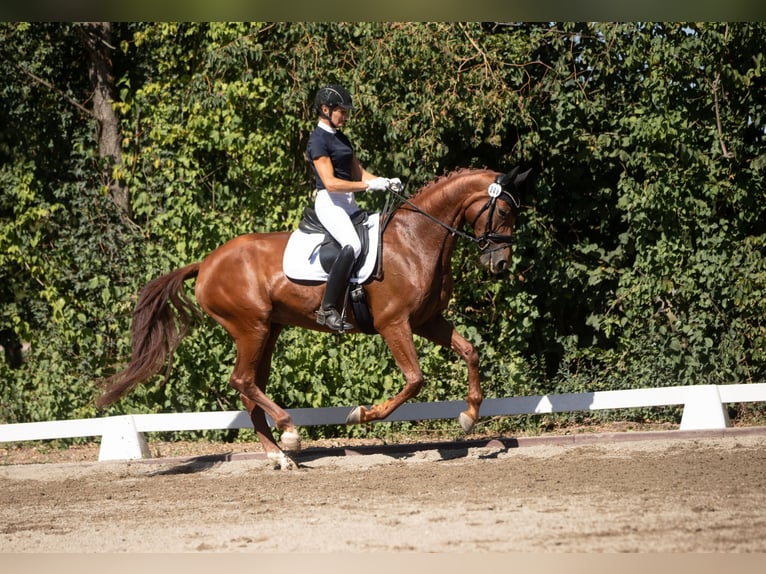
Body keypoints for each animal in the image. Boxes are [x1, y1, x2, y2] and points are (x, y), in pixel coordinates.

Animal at [97, 168, 536, 472]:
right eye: (504, 210)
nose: (499, 264)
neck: (416, 239)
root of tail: (205, 263)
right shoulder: (395, 324)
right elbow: (414, 380)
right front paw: (362, 414)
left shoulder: (427, 321)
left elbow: (470, 352)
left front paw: (468, 416)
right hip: (251, 328)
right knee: (242, 381)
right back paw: (289, 434)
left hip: (268, 331)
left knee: (250, 387)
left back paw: (279, 456)